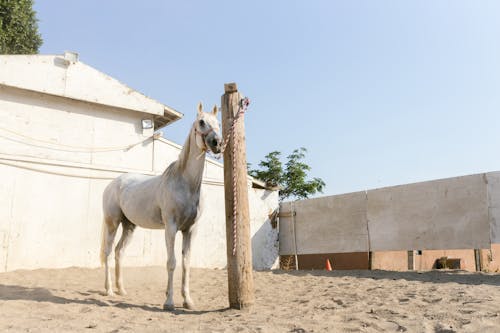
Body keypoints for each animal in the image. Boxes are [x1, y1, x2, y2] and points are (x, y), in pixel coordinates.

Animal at [99, 102, 221, 310]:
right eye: (201, 122)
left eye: (218, 123)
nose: (217, 143)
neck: (185, 184)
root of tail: (113, 184)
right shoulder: (170, 228)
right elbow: (171, 262)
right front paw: (169, 302)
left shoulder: (190, 230)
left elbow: (186, 263)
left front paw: (188, 301)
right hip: (112, 223)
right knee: (107, 252)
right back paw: (109, 291)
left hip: (129, 226)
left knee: (119, 252)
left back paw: (121, 290)